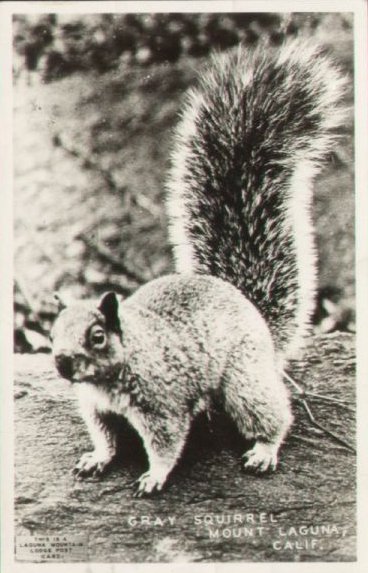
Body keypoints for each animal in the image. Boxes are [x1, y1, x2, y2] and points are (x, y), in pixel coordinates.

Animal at [50, 38, 346, 494]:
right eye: (52, 333)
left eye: (97, 336)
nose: (62, 363)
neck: (115, 372)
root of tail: (247, 304)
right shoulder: (97, 408)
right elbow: (104, 436)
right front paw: (96, 458)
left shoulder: (161, 406)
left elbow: (166, 444)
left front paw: (154, 476)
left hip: (243, 380)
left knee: (274, 415)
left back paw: (264, 450)